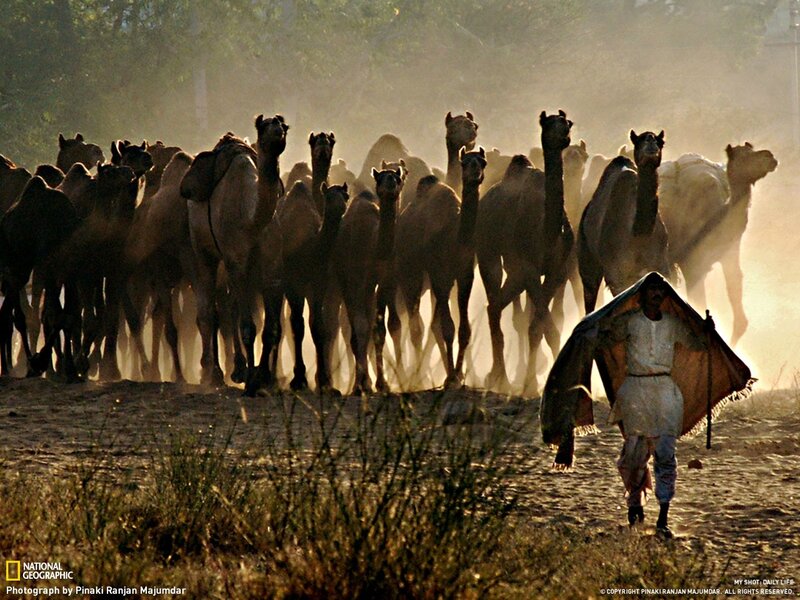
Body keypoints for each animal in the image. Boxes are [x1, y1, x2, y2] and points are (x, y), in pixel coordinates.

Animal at [392, 148, 486, 388]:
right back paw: (415, 377)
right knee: (415, 325)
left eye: (483, 161)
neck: (455, 237)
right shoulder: (439, 272)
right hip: (410, 272)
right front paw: (451, 376)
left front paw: (457, 376)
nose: (475, 170)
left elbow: (464, 329)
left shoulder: (464, 275)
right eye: (464, 162)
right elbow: (447, 327)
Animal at [476, 110, 574, 395]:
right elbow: (541, 327)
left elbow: (541, 327)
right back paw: (500, 378)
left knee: (496, 305)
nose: (564, 136)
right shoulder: (530, 268)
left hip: (515, 271)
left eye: (567, 123)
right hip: (488, 252)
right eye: (548, 125)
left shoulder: (557, 271)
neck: (547, 231)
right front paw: (531, 385)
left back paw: (500, 376)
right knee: (494, 301)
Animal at [578, 130, 671, 314]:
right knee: (589, 292)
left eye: (661, 141)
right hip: (586, 255)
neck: (638, 233)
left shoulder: (659, 265)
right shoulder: (617, 276)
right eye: (638, 140)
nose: (651, 141)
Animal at [659, 142, 777, 344]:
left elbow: (739, 314)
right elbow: (698, 306)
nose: (770, 156)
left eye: (752, 149)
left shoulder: (728, 254)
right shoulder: (691, 265)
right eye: (743, 156)